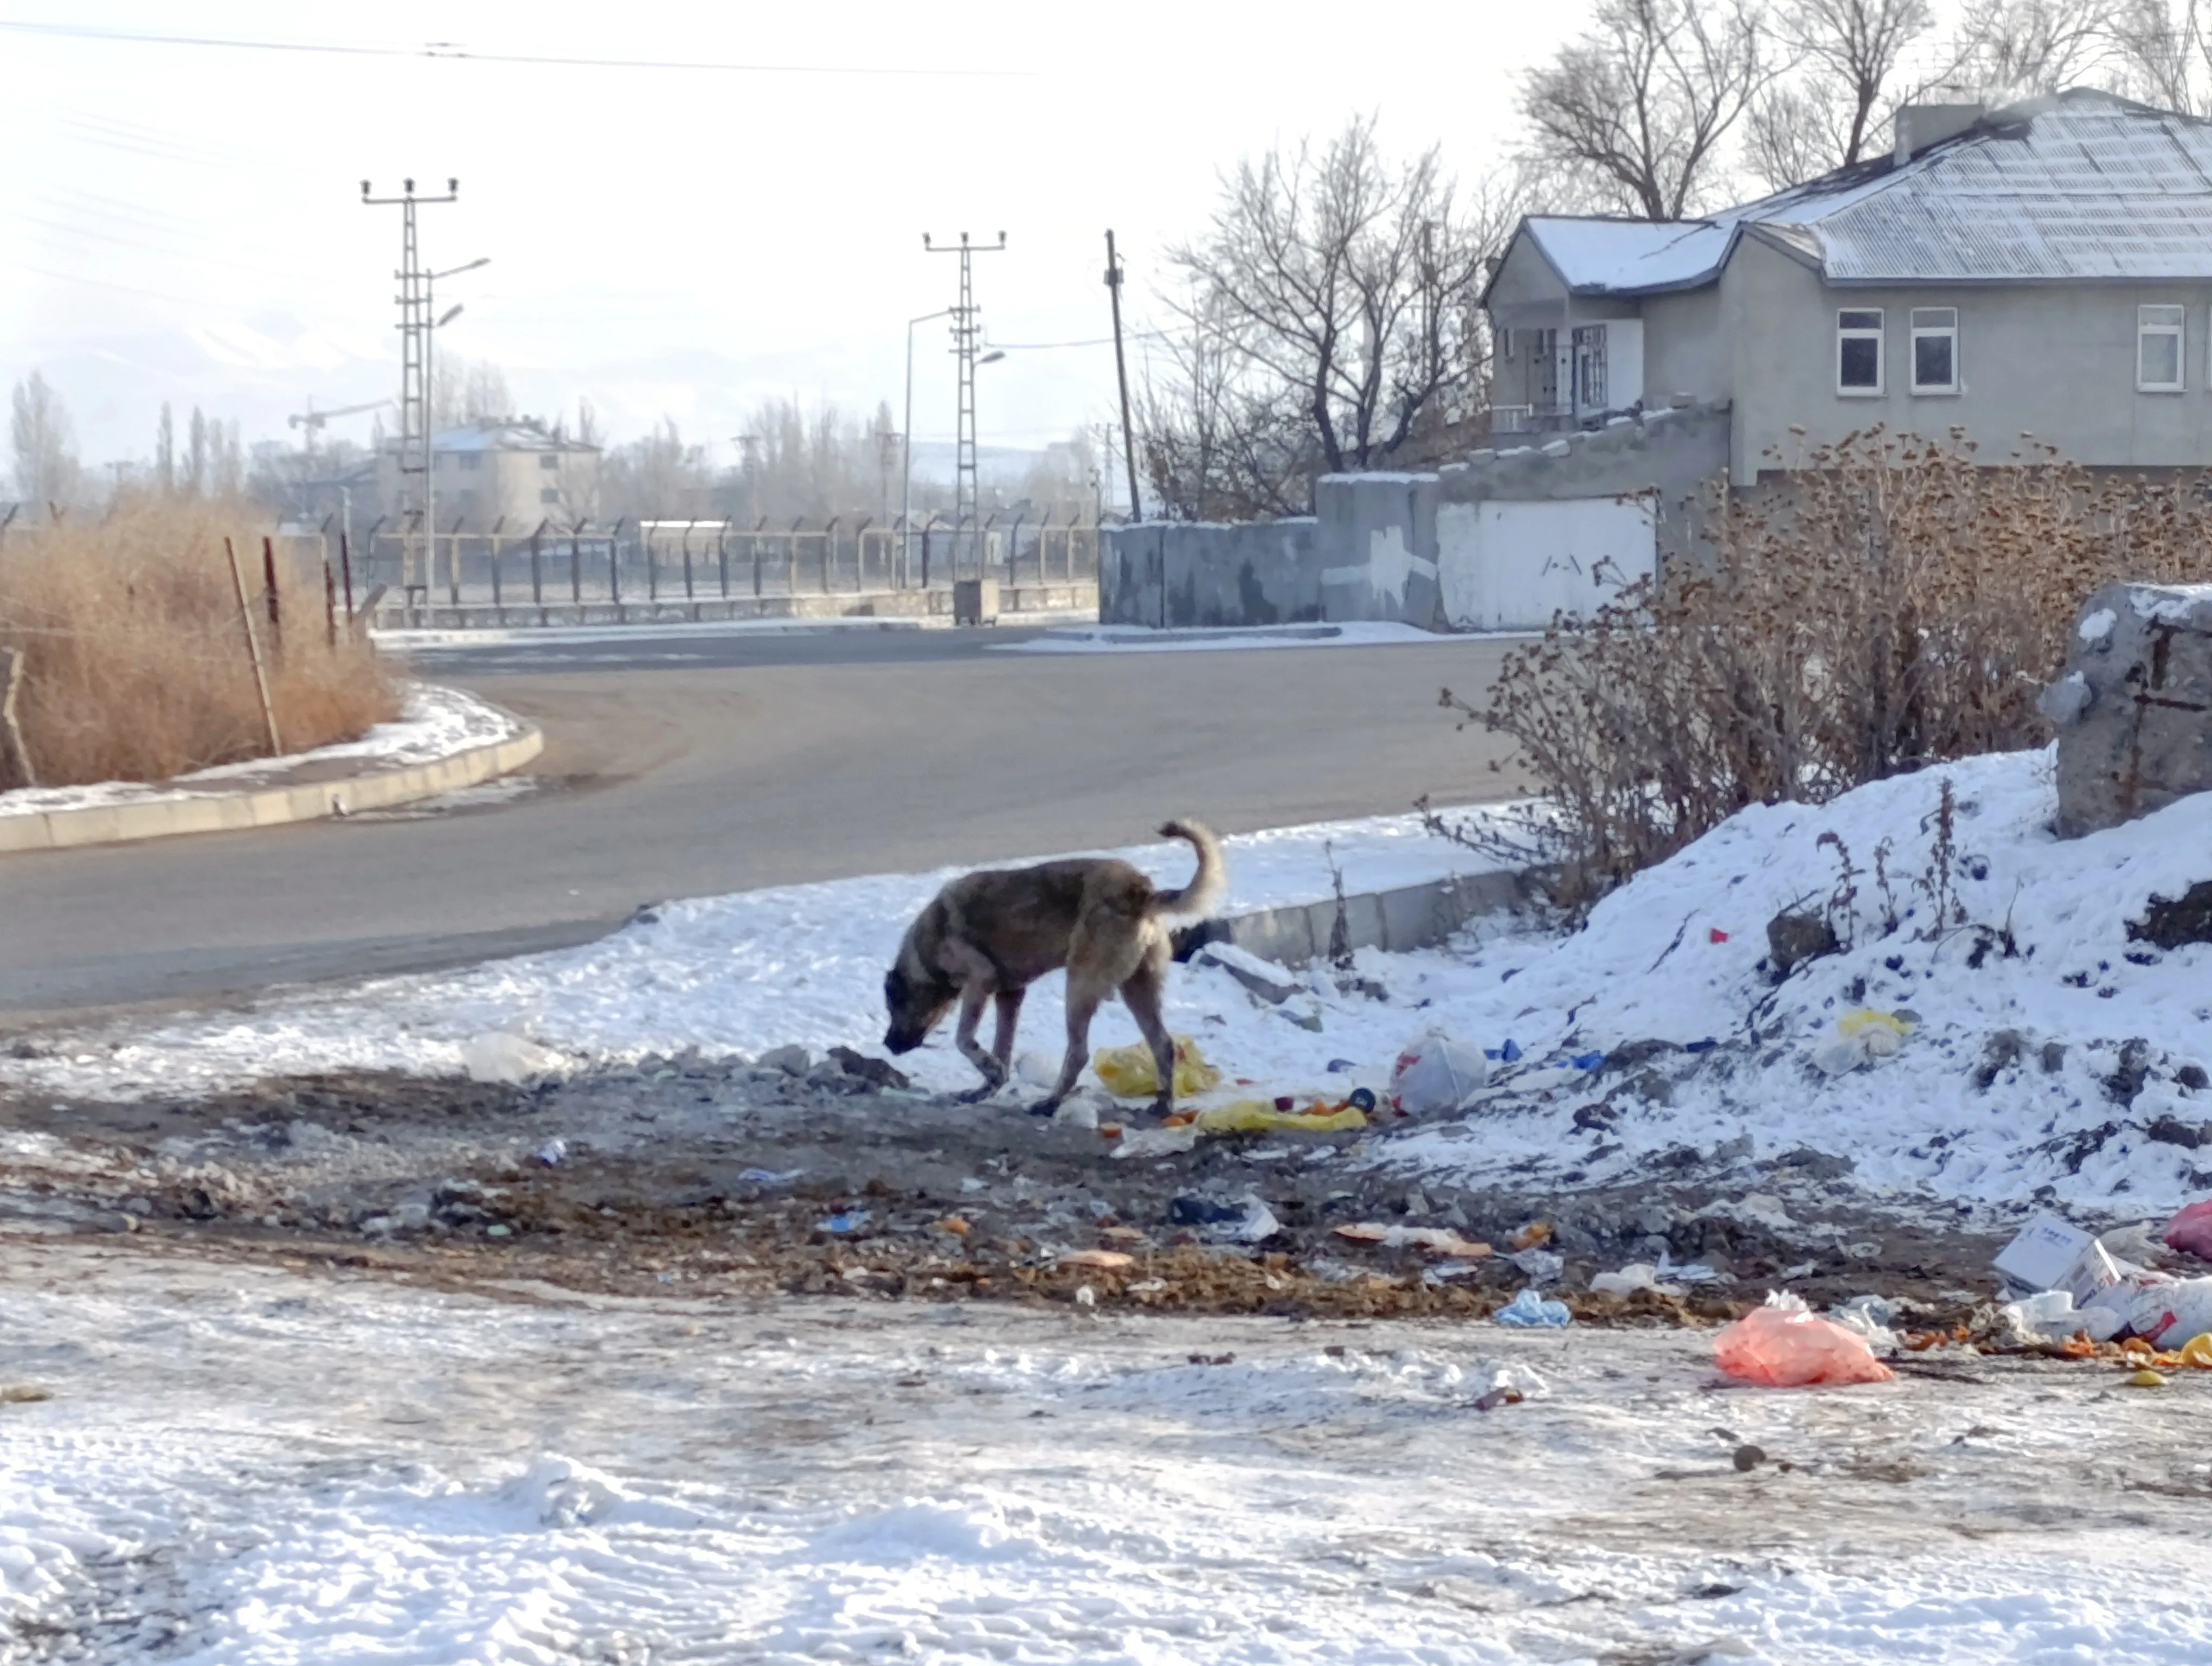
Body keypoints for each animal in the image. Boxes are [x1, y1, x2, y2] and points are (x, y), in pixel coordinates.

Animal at [880, 823, 1230, 1119]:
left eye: (895, 1006)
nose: (887, 1044)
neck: (927, 945)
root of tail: (1141, 892)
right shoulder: (1010, 994)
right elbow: (1003, 1048)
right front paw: (988, 1086)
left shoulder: (981, 982)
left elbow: (964, 1039)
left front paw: (990, 1072)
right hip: (1139, 989)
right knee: (1163, 1044)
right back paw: (1162, 1105)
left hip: (1079, 987)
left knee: (1079, 1053)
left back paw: (1050, 1103)